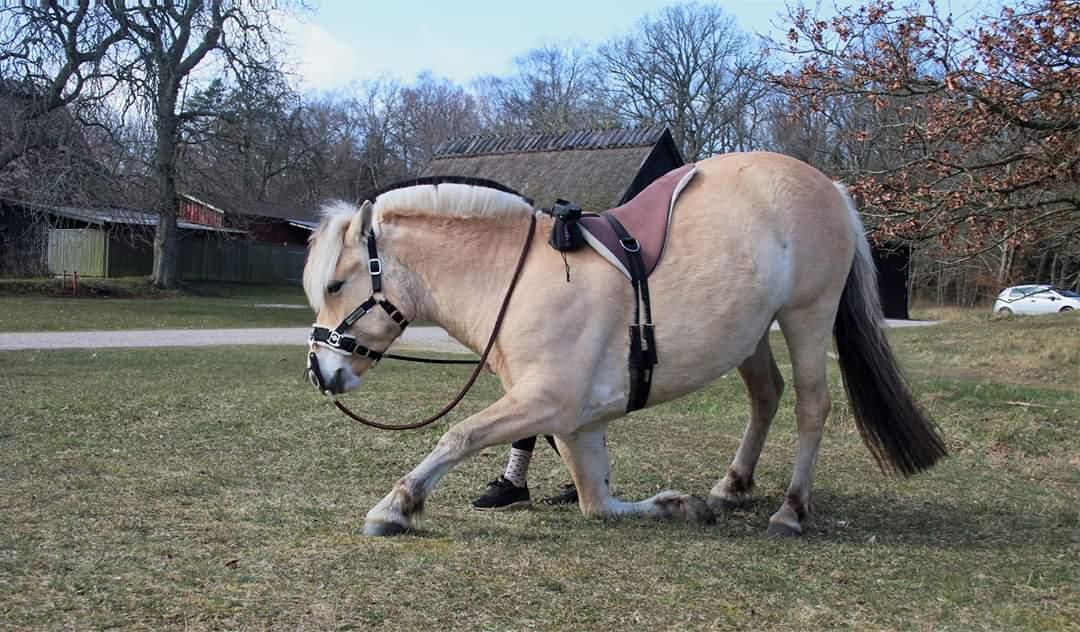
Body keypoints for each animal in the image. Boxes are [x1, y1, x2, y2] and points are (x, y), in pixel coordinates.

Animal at [302, 150, 946, 535]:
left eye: (335, 284)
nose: (320, 372)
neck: (515, 274)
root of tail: (830, 185)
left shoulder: (549, 402)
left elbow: (459, 436)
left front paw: (397, 505)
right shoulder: (576, 424)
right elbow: (598, 501)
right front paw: (676, 504)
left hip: (806, 315)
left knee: (812, 405)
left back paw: (790, 510)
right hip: (753, 333)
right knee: (767, 395)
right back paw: (732, 487)